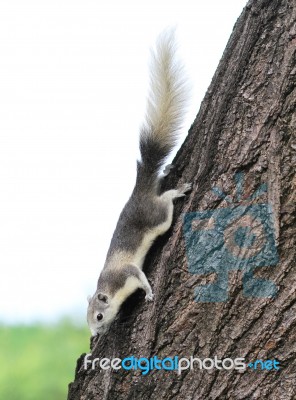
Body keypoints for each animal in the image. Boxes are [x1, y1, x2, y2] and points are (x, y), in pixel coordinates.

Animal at [86, 31, 191, 336]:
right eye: (88, 320)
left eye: (99, 316)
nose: (96, 333)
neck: (108, 286)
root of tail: (139, 194)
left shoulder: (127, 273)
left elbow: (141, 278)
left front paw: (149, 293)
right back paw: (166, 172)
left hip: (157, 217)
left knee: (165, 204)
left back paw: (177, 192)